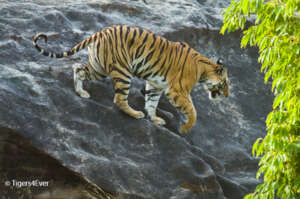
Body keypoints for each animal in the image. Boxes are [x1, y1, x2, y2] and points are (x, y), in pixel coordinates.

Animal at [32, 24, 229, 134]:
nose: (227, 95)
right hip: (123, 71)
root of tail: (101, 32)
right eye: (225, 83)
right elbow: (193, 112)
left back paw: (81, 93)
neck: (204, 70)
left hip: (99, 67)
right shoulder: (177, 91)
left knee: (78, 69)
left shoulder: (155, 85)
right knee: (119, 99)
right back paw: (135, 114)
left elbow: (152, 102)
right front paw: (185, 129)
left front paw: (155, 119)